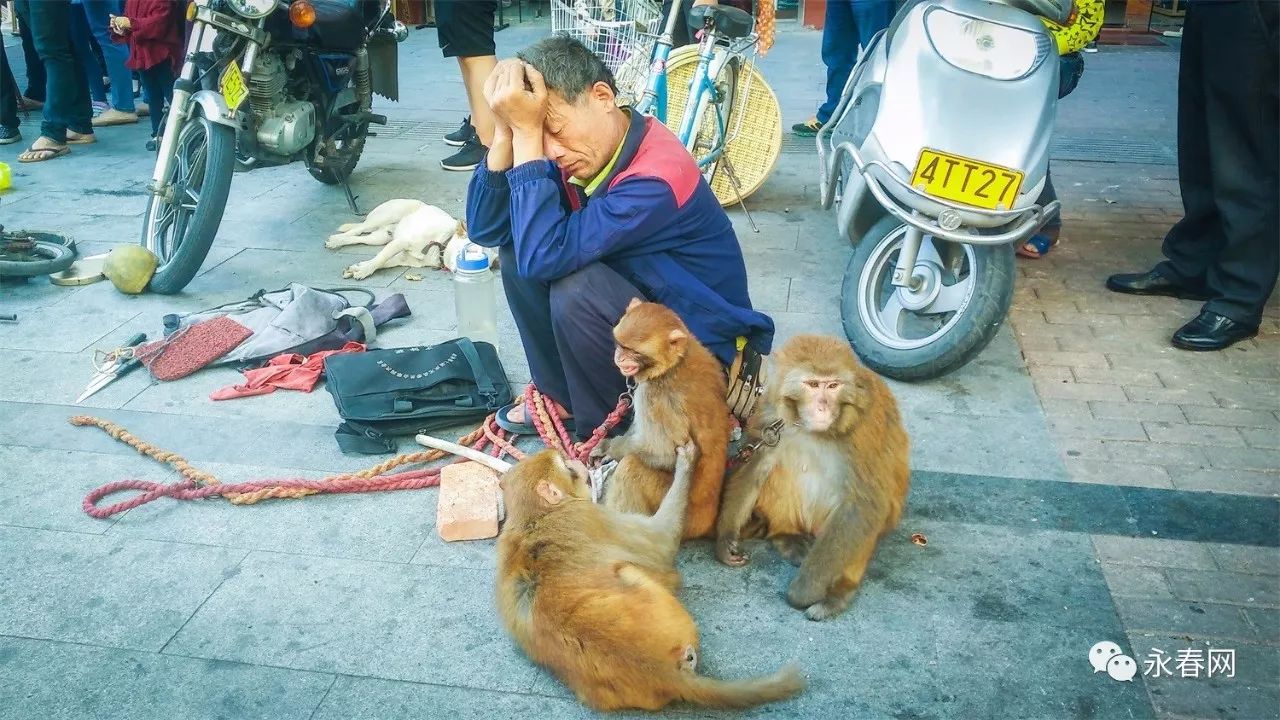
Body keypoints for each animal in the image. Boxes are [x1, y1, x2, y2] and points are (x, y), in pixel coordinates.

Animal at [325, 198, 494, 278]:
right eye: (469, 251)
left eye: (488, 264)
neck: (441, 244)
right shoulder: (401, 243)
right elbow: (380, 258)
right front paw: (365, 270)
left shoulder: (402, 258)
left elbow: (383, 262)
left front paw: (358, 267)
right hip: (384, 218)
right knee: (357, 230)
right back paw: (336, 240)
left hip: (380, 237)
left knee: (360, 238)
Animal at [494, 443, 803, 707]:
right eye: (566, 467)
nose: (576, 460)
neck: (533, 517)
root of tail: (662, 673)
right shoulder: (590, 516)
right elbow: (661, 543)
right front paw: (686, 465)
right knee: (631, 570)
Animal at [591, 297, 732, 538]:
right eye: (620, 344)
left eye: (633, 351)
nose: (620, 358)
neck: (673, 364)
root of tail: (706, 522)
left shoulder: (654, 397)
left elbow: (661, 452)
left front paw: (610, 447)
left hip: (679, 511)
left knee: (631, 466)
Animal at [711, 333, 911, 620]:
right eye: (813, 384)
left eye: (833, 386)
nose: (823, 407)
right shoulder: (772, 412)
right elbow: (756, 465)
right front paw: (726, 539)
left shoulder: (864, 428)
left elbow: (864, 503)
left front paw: (803, 593)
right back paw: (787, 536)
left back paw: (839, 593)